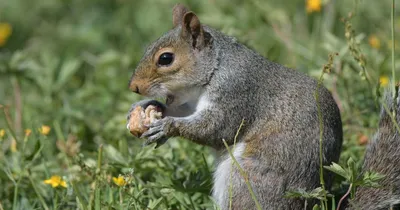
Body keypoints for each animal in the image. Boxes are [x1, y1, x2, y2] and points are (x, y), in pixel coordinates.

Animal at [126, 3, 398, 210]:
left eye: (166, 58)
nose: (134, 87)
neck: (215, 68)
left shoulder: (237, 93)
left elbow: (215, 128)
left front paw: (167, 126)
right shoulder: (192, 102)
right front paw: (148, 107)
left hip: (246, 178)